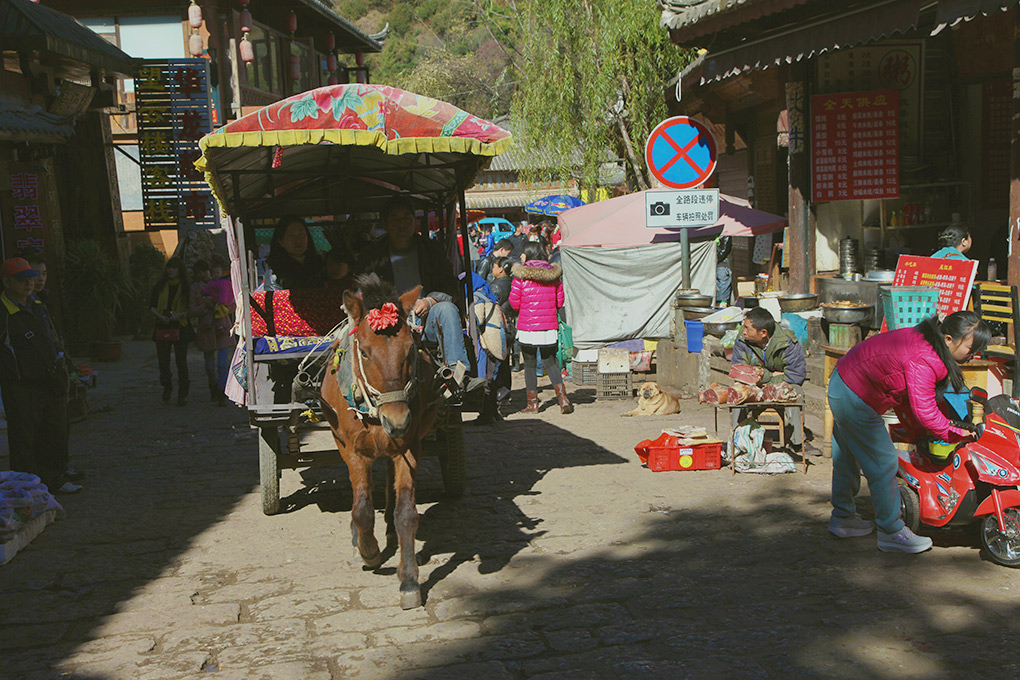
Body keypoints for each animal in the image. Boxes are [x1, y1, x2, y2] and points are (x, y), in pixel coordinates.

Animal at [318, 273, 442, 607]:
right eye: (364, 352)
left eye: (410, 349)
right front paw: (369, 552)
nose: (397, 421)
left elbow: (406, 514)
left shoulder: (408, 448)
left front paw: (409, 580)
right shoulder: (352, 451)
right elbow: (361, 509)